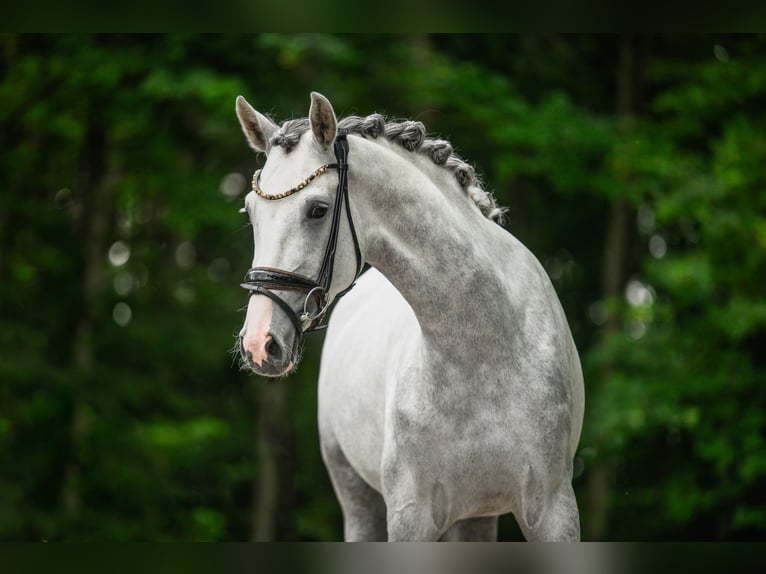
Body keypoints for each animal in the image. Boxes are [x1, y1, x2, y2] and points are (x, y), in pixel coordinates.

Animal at [237, 92, 584, 544]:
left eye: (317, 209)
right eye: (250, 213)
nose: (259, 343)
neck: (483, 351)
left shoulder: (554, 511)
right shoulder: (409, 514)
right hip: (357, 496)